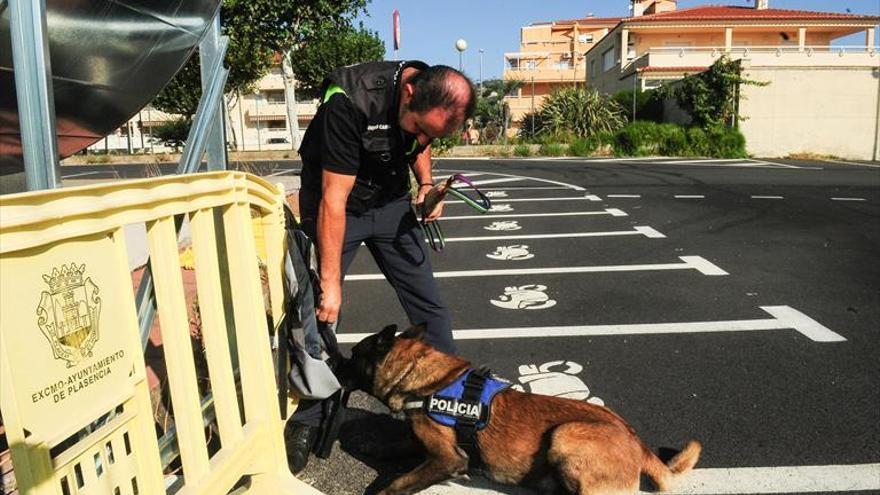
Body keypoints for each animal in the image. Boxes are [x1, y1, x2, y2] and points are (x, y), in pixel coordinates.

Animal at [340, 326, 704, 495]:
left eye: (354, 355)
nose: (334, 364)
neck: (425, 377)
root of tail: (639, 444)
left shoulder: (447, 459)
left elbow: (399, 482)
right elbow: (400, 443)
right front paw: (375, 445)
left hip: (565, 434)